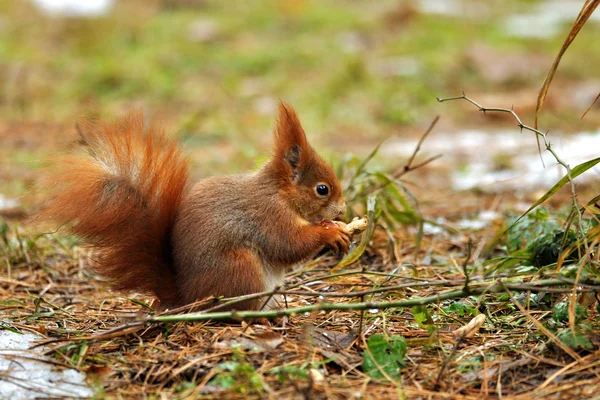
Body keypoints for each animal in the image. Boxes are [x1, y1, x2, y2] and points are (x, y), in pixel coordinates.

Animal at [42, 102, 350, 310]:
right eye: (322, 189)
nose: (342, 211)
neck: (280, 192)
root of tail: (185, 297)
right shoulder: (268, 214)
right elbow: (287, 244)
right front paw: (330, 232)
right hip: (241, 268)